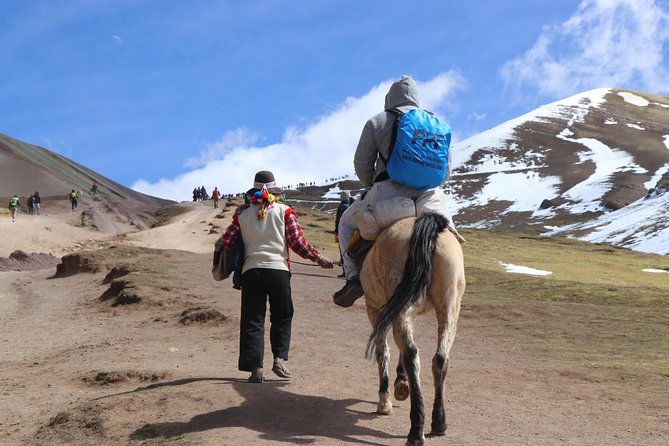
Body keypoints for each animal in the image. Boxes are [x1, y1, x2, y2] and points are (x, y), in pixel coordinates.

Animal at [360, 213, 464, 446]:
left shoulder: (375, 309)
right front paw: (401, 382)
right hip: (450, 305)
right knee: (439, 358)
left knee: (410, 353)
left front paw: (385, 400)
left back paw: (416, 430)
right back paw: (438, 422)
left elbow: (383, 352)